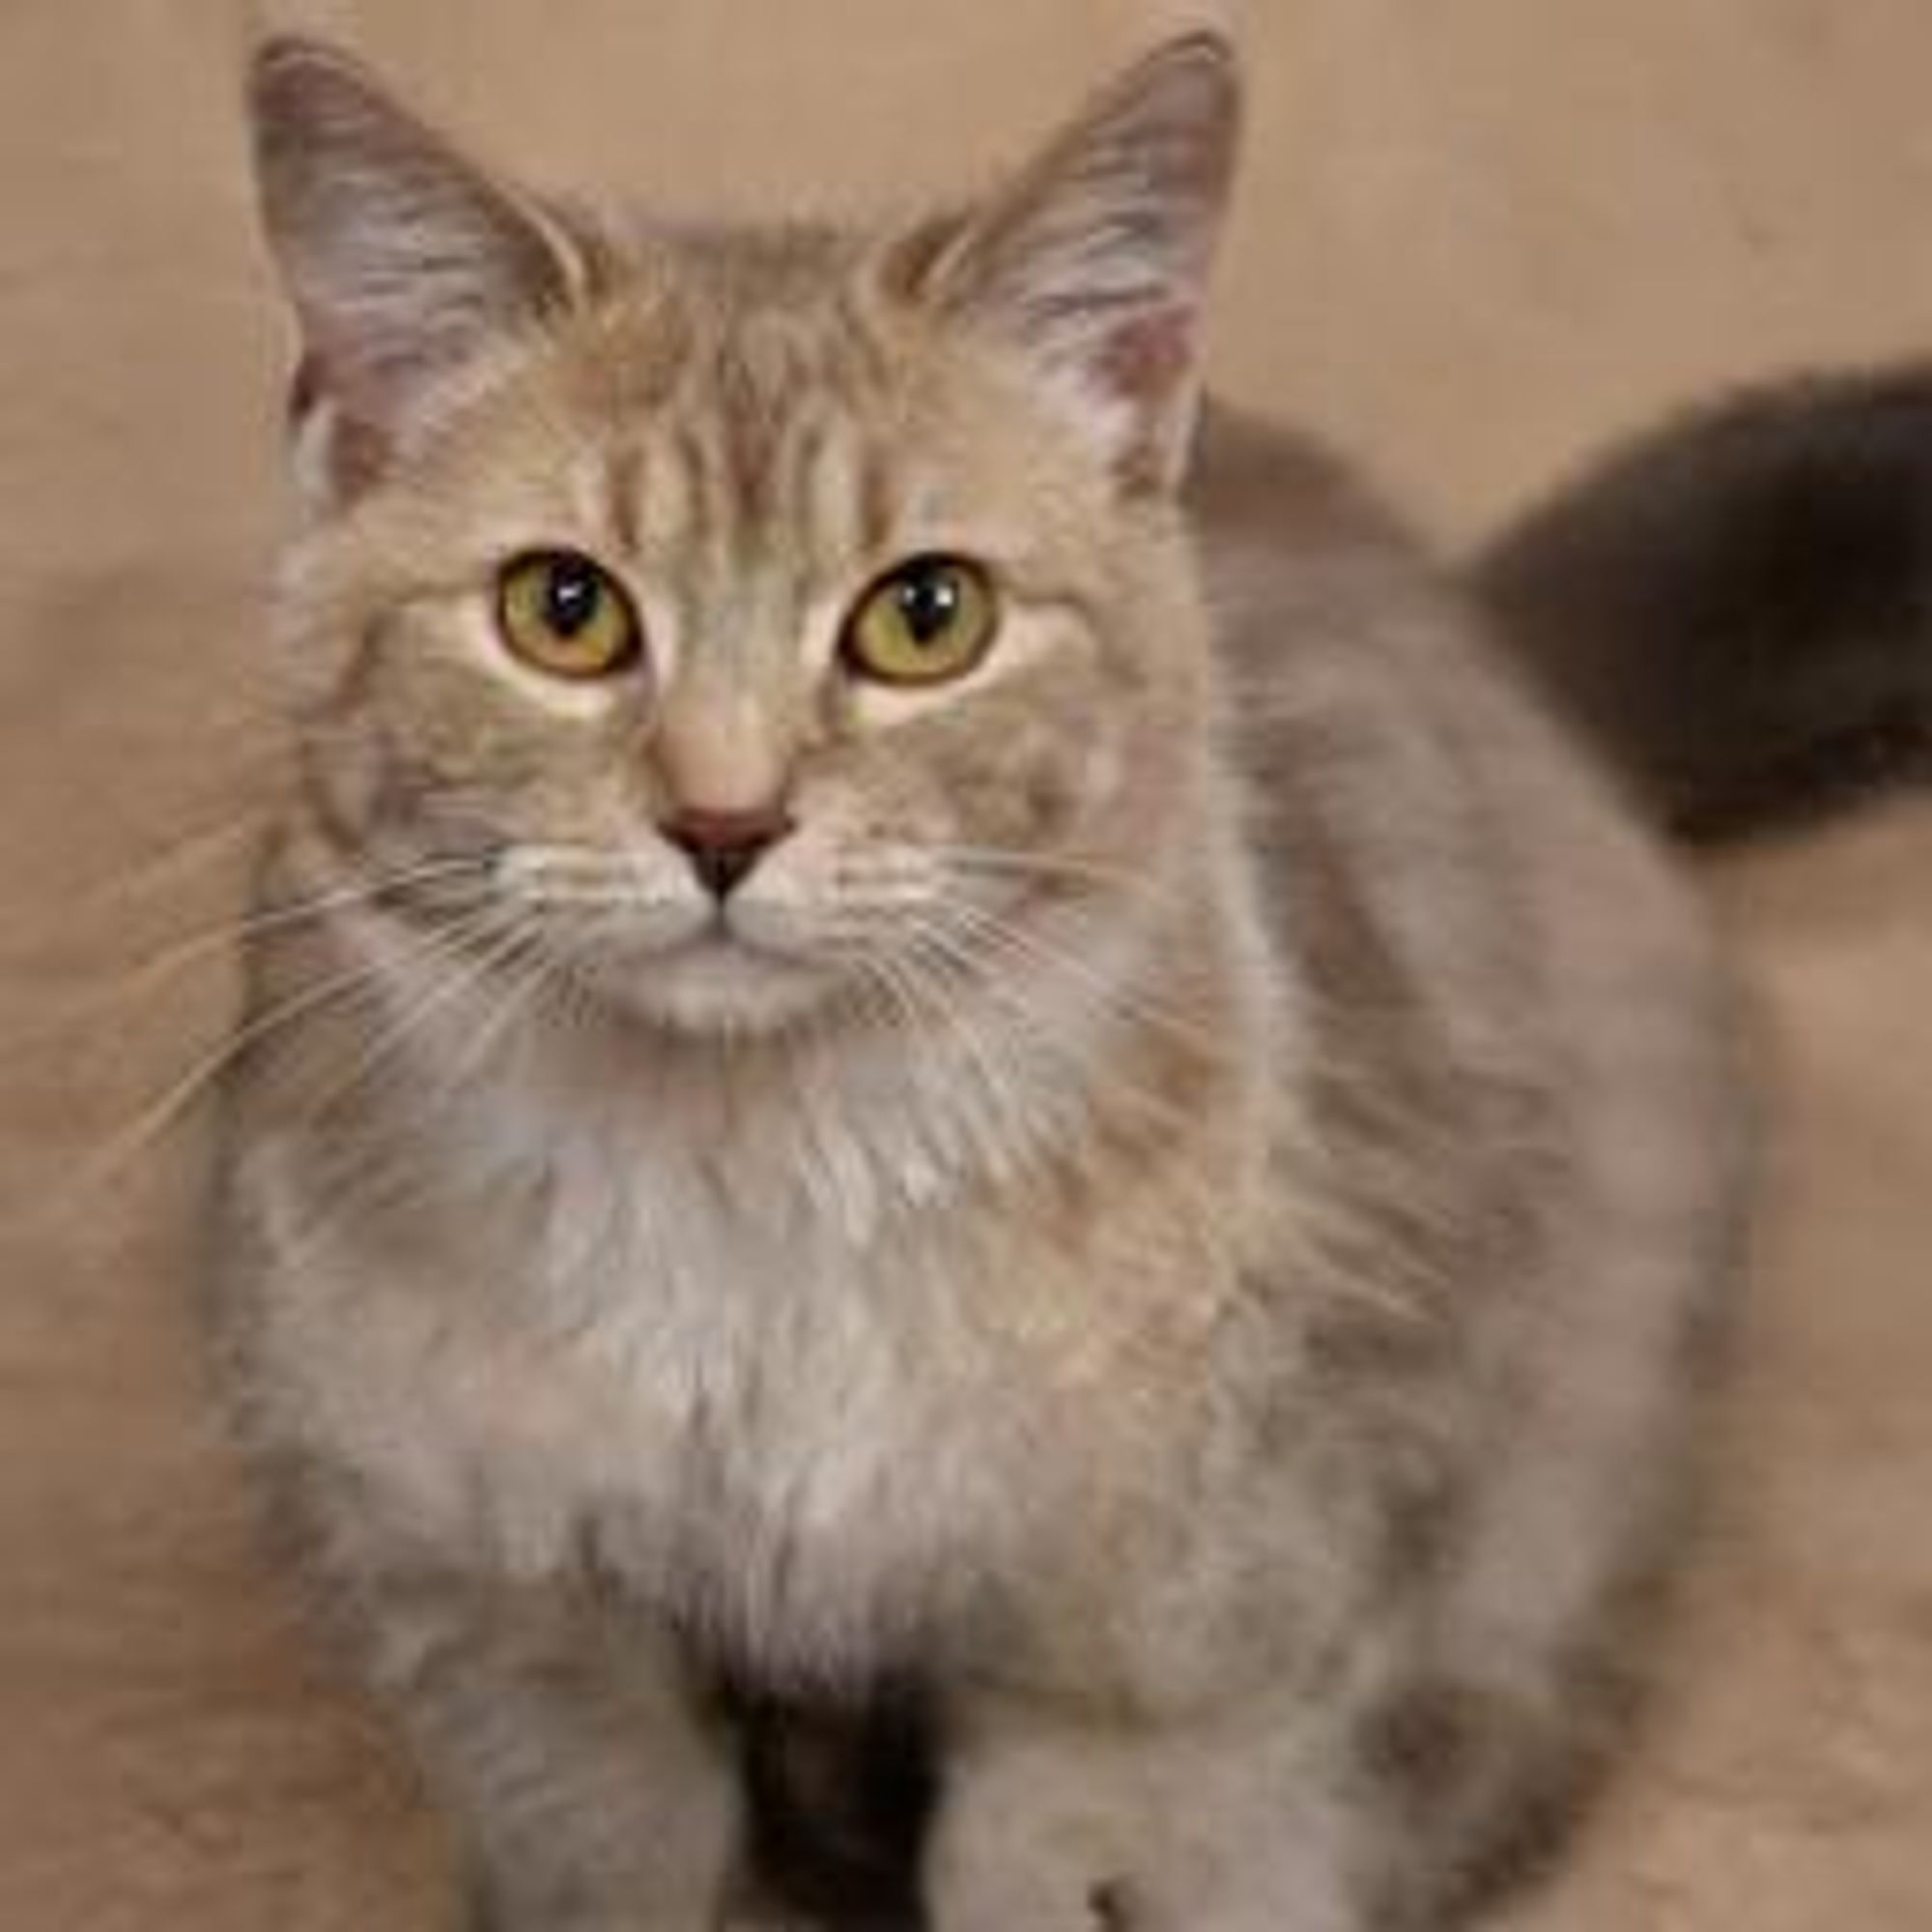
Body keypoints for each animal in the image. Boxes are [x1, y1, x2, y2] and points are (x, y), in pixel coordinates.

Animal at [215, 30, 1754, 1932]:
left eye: (924, 617)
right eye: (562, 611)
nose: (724, 821)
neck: (754, 1219)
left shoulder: (1186, 1638)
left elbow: (1119, 1834)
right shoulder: (498, 1617)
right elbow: (613, 1841)